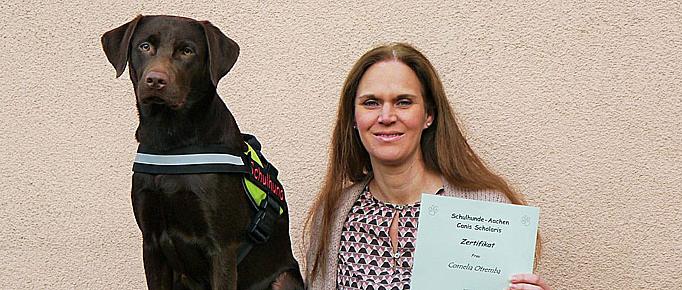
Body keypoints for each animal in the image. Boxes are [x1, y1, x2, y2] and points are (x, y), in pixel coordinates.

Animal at [101, 14, 302, 288]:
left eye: (187, 51)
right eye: (145, 46)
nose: (155, 80)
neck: (171, 143)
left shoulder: (221, 248)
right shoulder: (151, 243)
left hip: (284, 278)